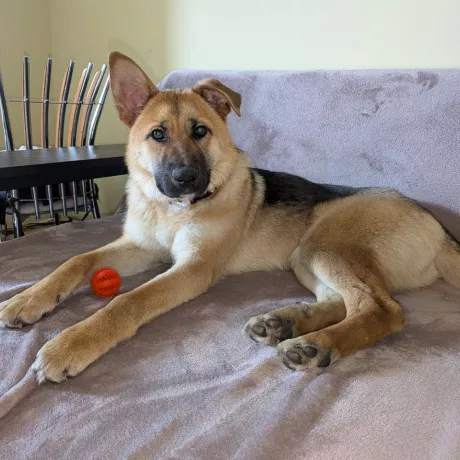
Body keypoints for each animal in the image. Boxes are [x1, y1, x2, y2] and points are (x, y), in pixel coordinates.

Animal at [1, 52, 459, 383]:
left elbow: (129, 299)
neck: (172, 210)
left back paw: (317, 346)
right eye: (157, 135)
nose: (185, 178)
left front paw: (71, 344)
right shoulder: (140, 247)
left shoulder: (193, 268)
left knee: (382, 308)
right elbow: (76, 260)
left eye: (200, 131)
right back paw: (286, 323)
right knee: (343, 301)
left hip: (325, 243)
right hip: (304, 257)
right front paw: (27, 299)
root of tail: (442, 232)